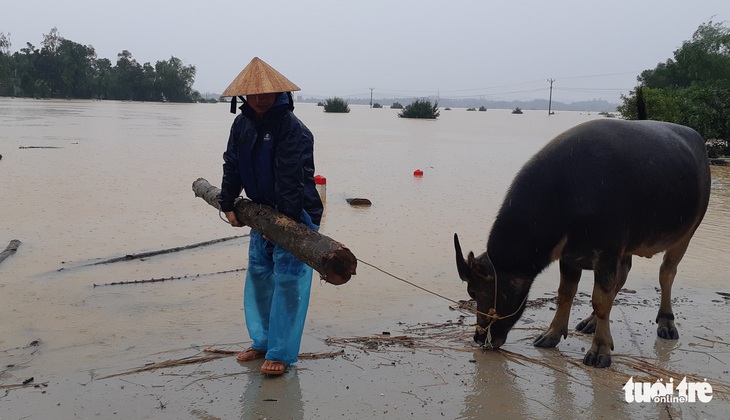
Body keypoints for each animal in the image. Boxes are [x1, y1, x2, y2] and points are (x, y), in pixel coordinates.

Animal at [452, 119, 708, 368]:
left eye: (473, 291)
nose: (479, 337)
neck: (567, 197)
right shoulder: (570, 256)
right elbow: (567, 293)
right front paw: (552, 334)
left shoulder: (606, 253)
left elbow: (600, 300)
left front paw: (600, 349)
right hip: (625, 251)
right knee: (621, 278)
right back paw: (591, 321)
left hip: (686, 234)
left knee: (666, 273)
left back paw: (666, 323)